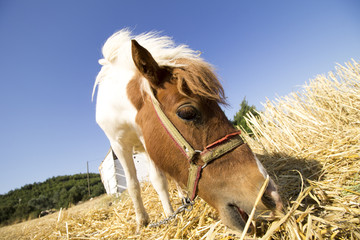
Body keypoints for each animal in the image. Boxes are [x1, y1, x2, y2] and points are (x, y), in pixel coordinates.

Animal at [92, 29, 282, 233]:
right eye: (187, 113)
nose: (270, 195)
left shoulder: (147, 141)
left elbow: (159, 180)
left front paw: (169, 215)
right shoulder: (119, 145)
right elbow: (133, 184)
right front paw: (142, 222)